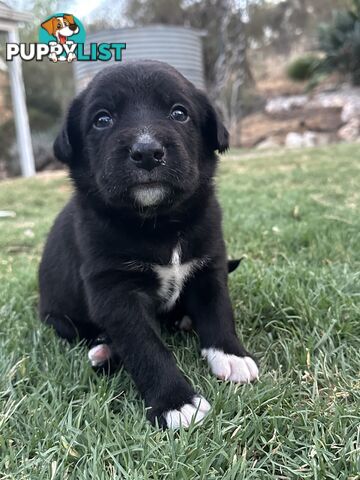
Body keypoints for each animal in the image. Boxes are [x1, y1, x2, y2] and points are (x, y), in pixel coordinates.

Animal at [39, 60, 258, 428]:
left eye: (179, 113)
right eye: (102, 119)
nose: (146, 153)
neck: (160, 223)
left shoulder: (209, 265)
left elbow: (218, 311)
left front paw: (231, 355)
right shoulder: (114, 290)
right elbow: (145, 346)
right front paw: (175, 402)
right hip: (58, 317)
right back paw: (104, 350)